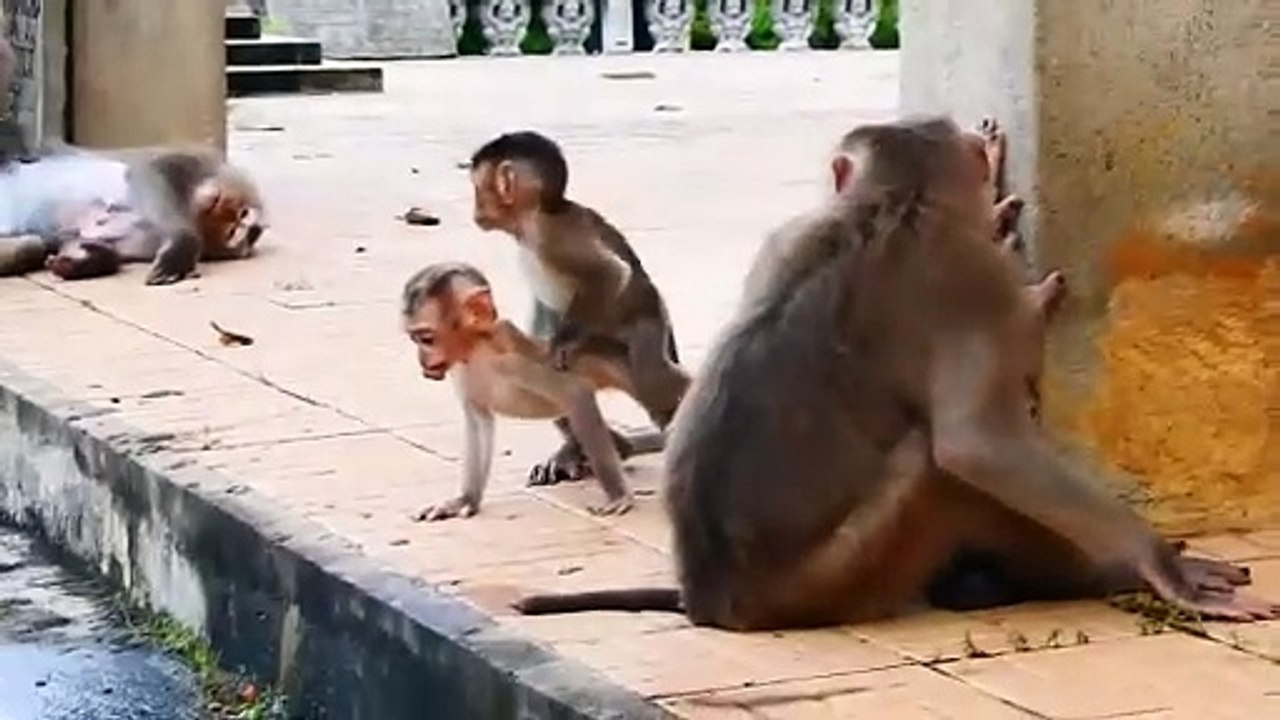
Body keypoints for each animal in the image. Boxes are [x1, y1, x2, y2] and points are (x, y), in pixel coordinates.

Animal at [0, 145, 266, 284]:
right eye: (237, 215)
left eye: (234, 228)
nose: (240, 220)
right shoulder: (195, 160)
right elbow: (149, 172)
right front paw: (182, 244)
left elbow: (78, 243)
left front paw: (77, 261)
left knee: (31, 244)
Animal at [402, 261, 664, 520]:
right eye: (415, 339)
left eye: (426, 339)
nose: (422, 360)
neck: (478, 350)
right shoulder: (461, 371)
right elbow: (478, 419)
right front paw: (465, 499)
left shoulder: (513, 360)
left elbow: (575, 394)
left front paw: (618, 495)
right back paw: (611, 447)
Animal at [467, 130, 692, 487]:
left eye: (478, 189)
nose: (475, 211)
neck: (531, 219)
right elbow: (543, 314)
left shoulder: (552, 236)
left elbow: (611, 274)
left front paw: (562, 344)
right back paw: (597, 449)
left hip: (649, 324)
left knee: (652, 380)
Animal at [513, 117, 1276, 628]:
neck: (889, 206)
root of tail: (712, 597)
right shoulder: (974, 281)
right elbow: (976, 444)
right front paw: (1159, 565)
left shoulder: (787, 233)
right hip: (839, 576)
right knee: (938, 469)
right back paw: (1089, 576)